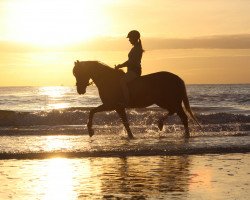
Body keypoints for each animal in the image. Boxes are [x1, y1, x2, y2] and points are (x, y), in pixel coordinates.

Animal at [73, 60, 201, 139]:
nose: (80, 90)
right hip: (165, 102)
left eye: (79, 72)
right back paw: (162, 124)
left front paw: (90, 131)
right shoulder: (118, 108)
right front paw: (130, 136)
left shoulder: (111, 105)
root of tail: (177, 78)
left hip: (169, 101)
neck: (108, 79)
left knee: (182, 116)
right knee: (175, 112)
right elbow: (125, 123)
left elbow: (92, 111)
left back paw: (184, 134)